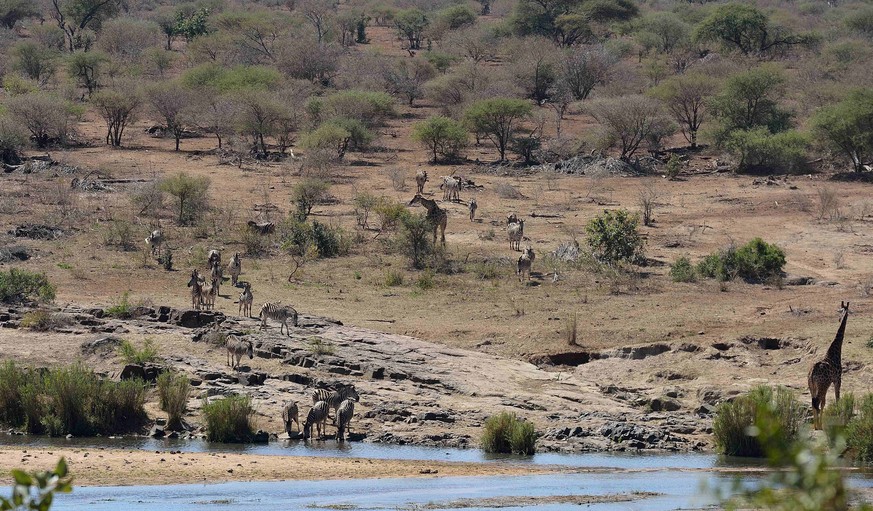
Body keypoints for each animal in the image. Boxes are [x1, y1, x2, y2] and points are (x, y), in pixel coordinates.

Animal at [808, 302, 848, 430]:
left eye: (841, 310)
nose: (839, 318)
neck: (835, 351)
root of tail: (812, 372)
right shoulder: (838, 379)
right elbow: (837, 399)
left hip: (812, 386)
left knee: (814, 402)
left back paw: (816, 426)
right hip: (823, 385)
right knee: (818, 402)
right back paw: (819, 425)